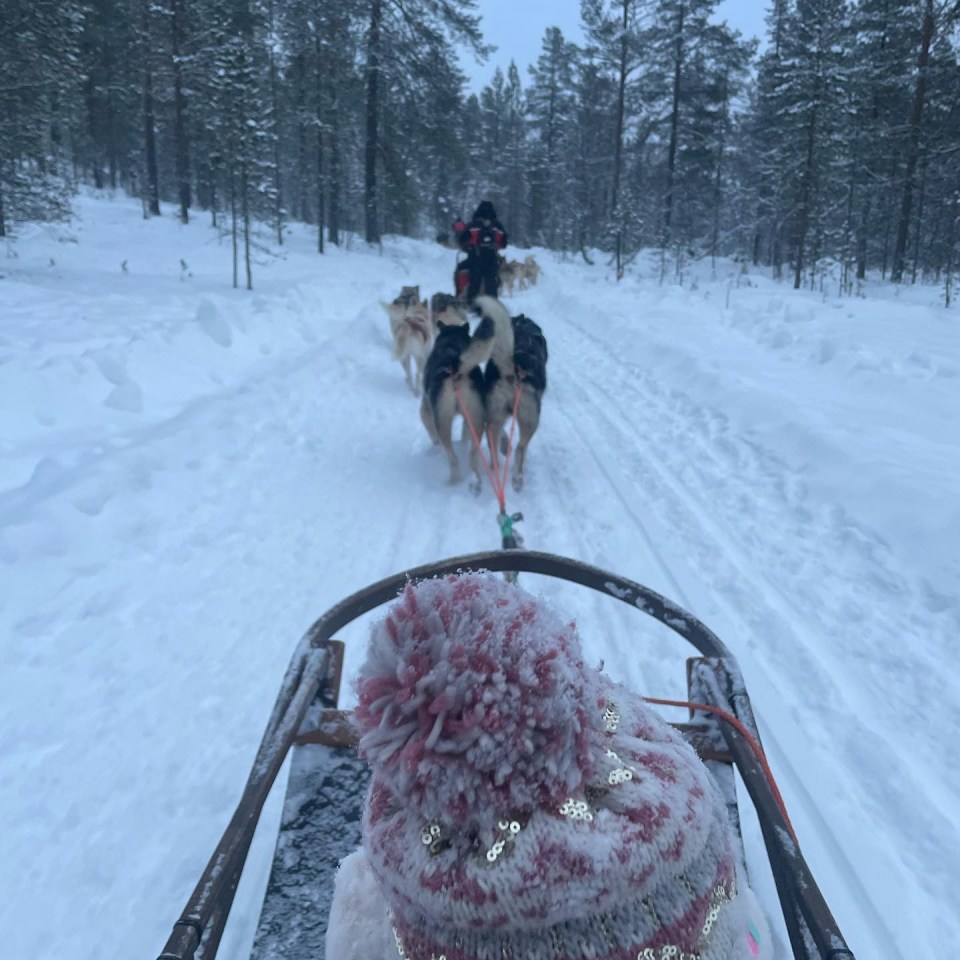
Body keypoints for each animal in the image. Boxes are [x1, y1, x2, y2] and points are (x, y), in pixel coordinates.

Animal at [418, 300, 512, 484]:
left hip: (443, 423)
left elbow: (431, 433)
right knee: (474, 453)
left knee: (452, 456)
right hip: (477, 417)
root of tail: (456, 367)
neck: (451, 342)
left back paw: (453, 481)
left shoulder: (426, 410)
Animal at [474, 294, 548, 492]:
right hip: (531, 420)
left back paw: (497, 465)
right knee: (520, 448)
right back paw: (517, 478)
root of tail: (512, 369)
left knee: (493, 438)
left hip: (493, 413)